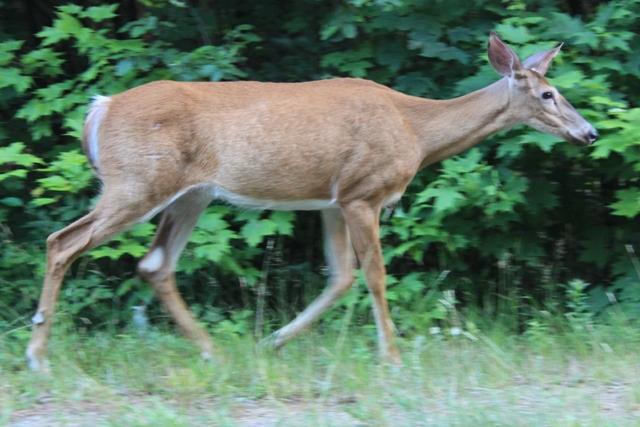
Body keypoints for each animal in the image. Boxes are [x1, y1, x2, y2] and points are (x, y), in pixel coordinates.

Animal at [26, 32, 597, 371]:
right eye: (547, 94)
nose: (589, 133)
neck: (416, 129)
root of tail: (99, 109)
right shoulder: (363, 192)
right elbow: (374, 275)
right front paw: (392, 357)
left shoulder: (330, 201)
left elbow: (340, 276)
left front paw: (274, 340)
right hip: (137, 181)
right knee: (62, 241)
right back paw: (38, 355)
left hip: (191, 194)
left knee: (154, 263)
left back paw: (212, 351)